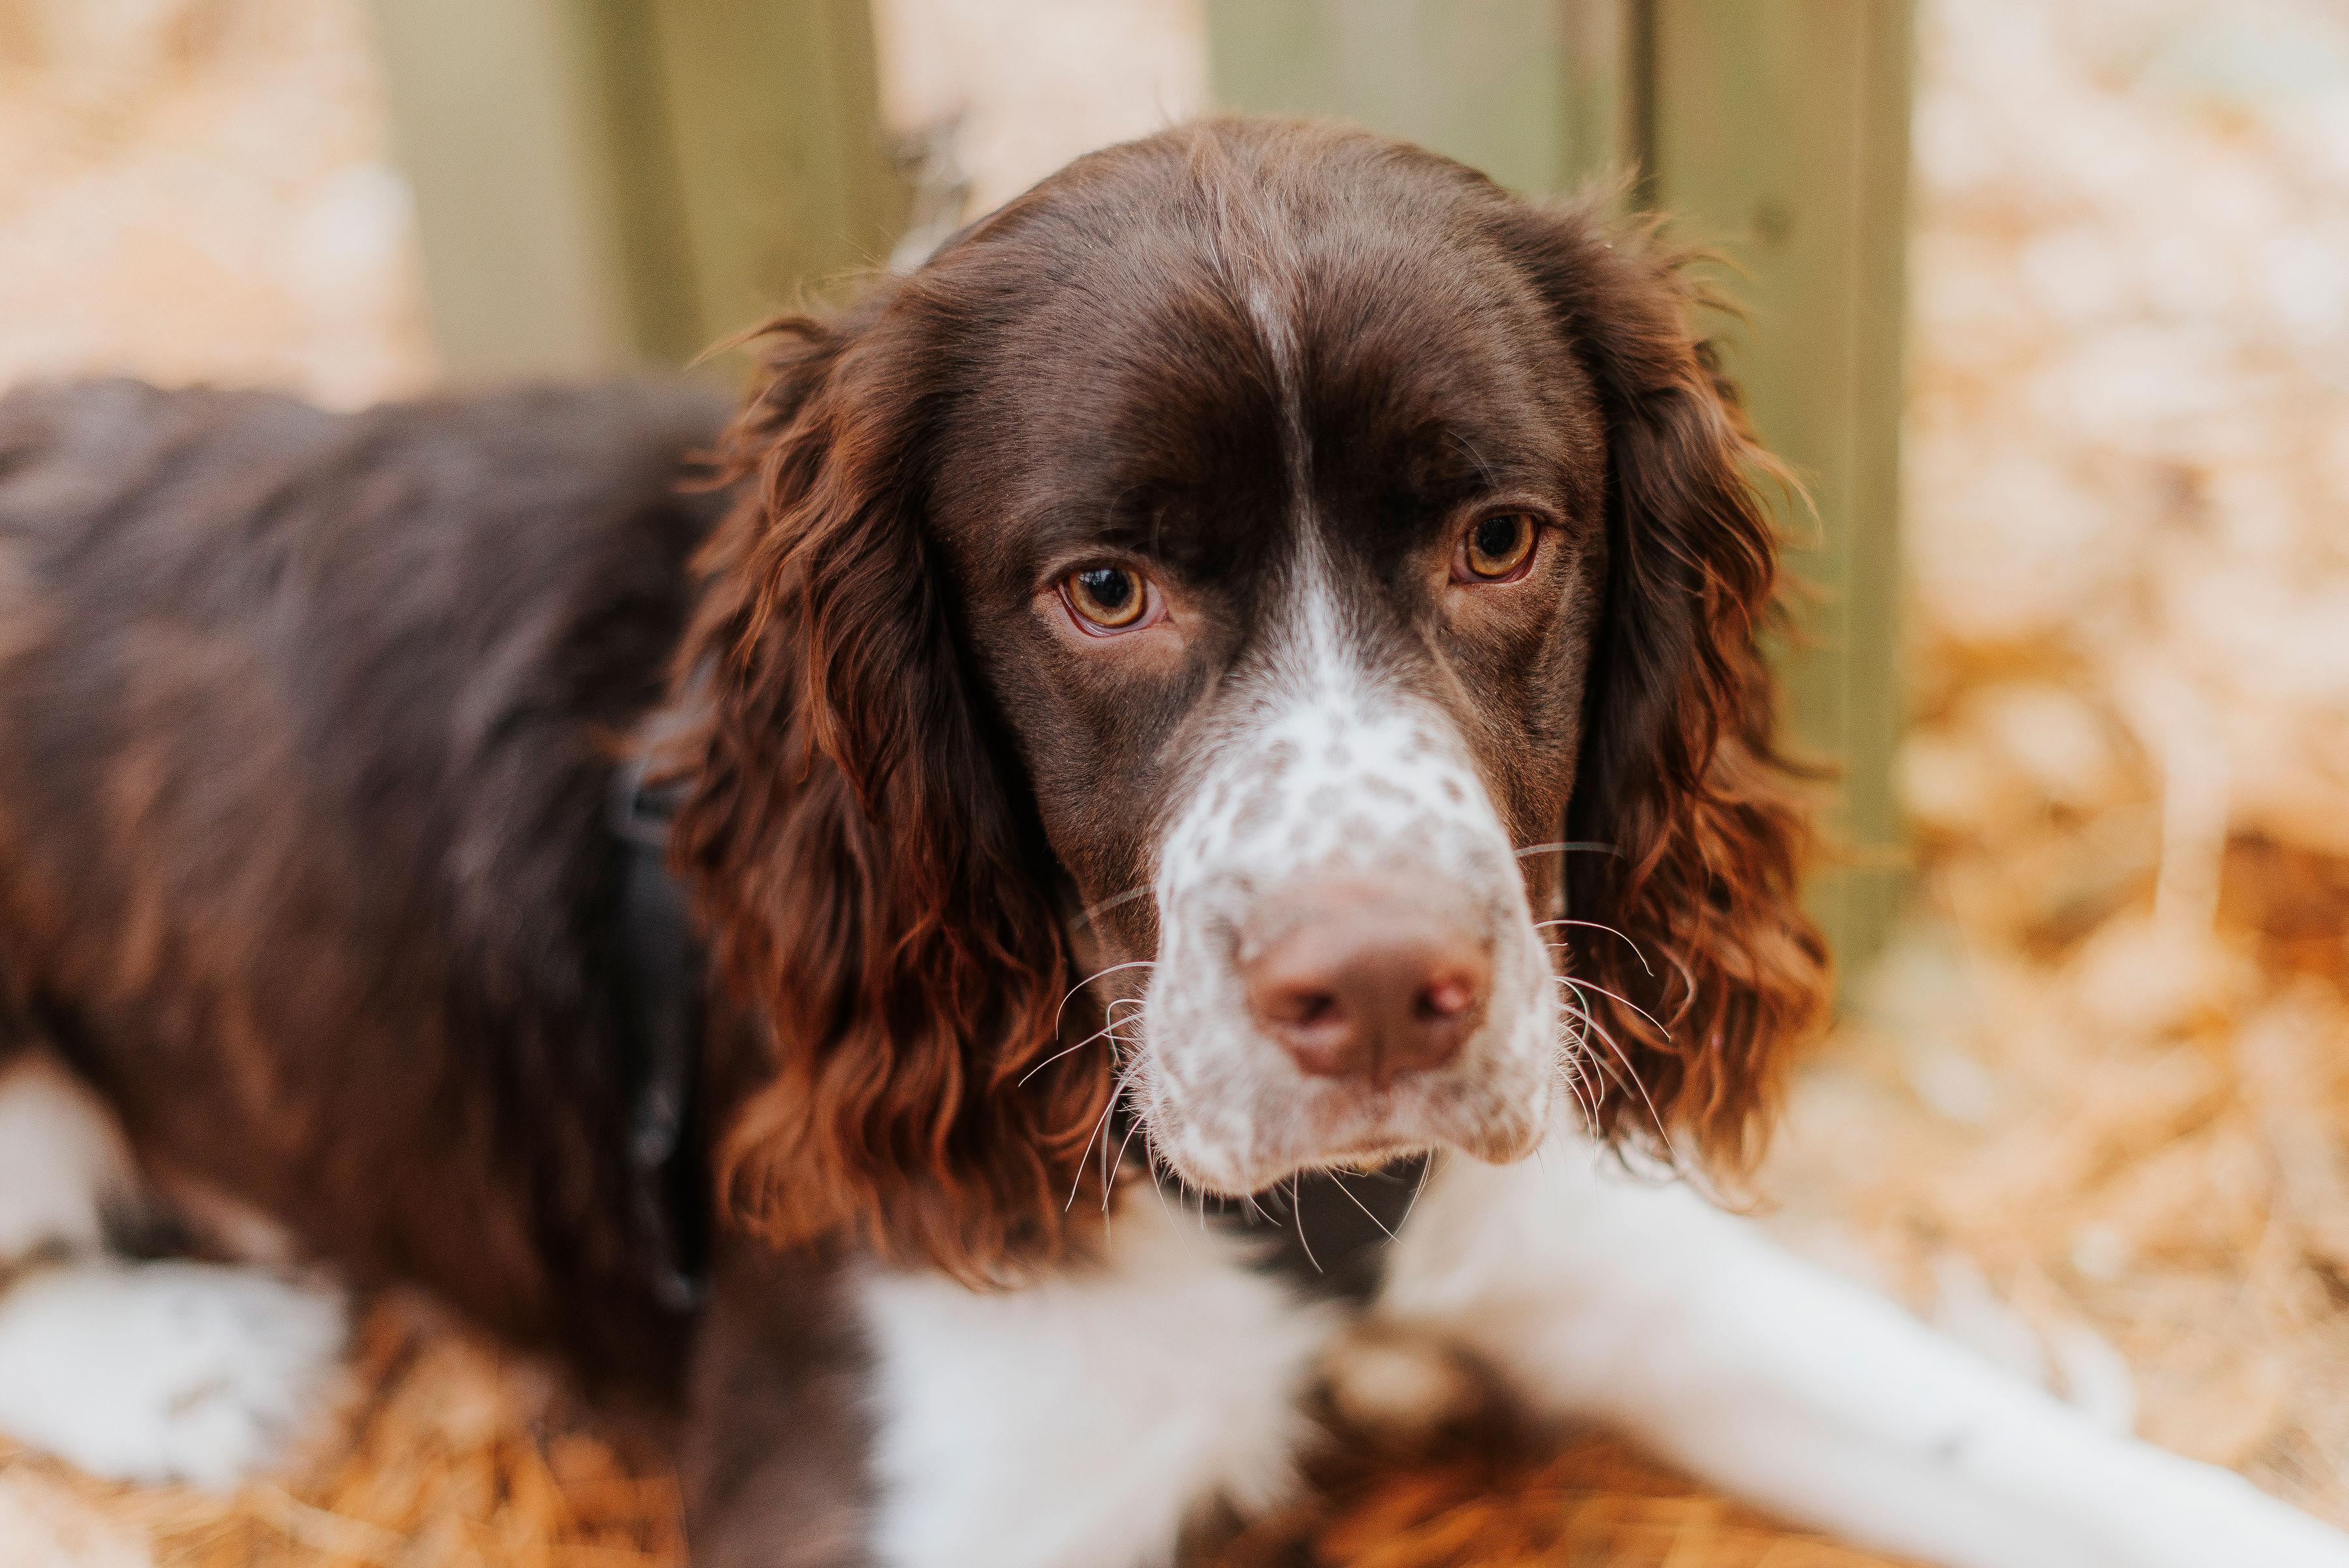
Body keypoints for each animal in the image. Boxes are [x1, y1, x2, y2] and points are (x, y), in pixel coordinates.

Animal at [1, 118, 2343, 1567]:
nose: (1388, 993)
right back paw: (189, 1361)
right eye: (1103, 590)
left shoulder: (1588, 1253)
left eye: (1503, 538)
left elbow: (2097, 1481)